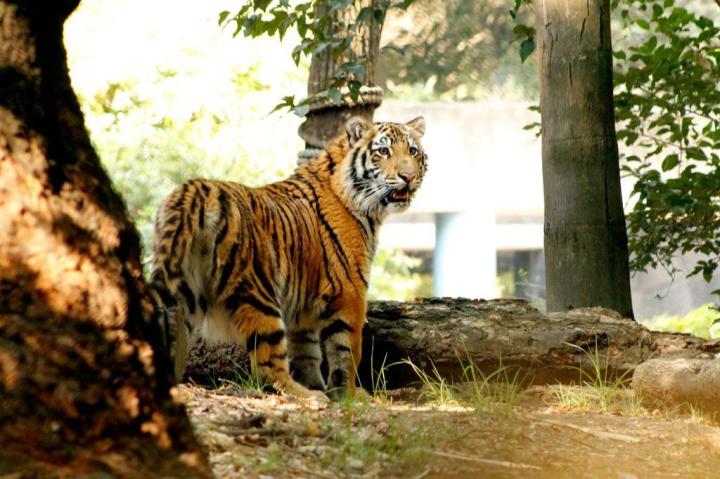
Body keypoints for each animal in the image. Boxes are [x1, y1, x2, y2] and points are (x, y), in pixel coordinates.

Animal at [149, 116, 427, 400]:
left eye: (413, 151)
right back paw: (306, 396)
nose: (408, 177)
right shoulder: (350, 291)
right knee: (266, 365)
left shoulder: (303, 299)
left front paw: (319, 385)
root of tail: (197, 190)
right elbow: (347, 350)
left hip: (186, 288)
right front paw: (349, 394)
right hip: (259, 293)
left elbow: (307, 351)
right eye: (383, 151)